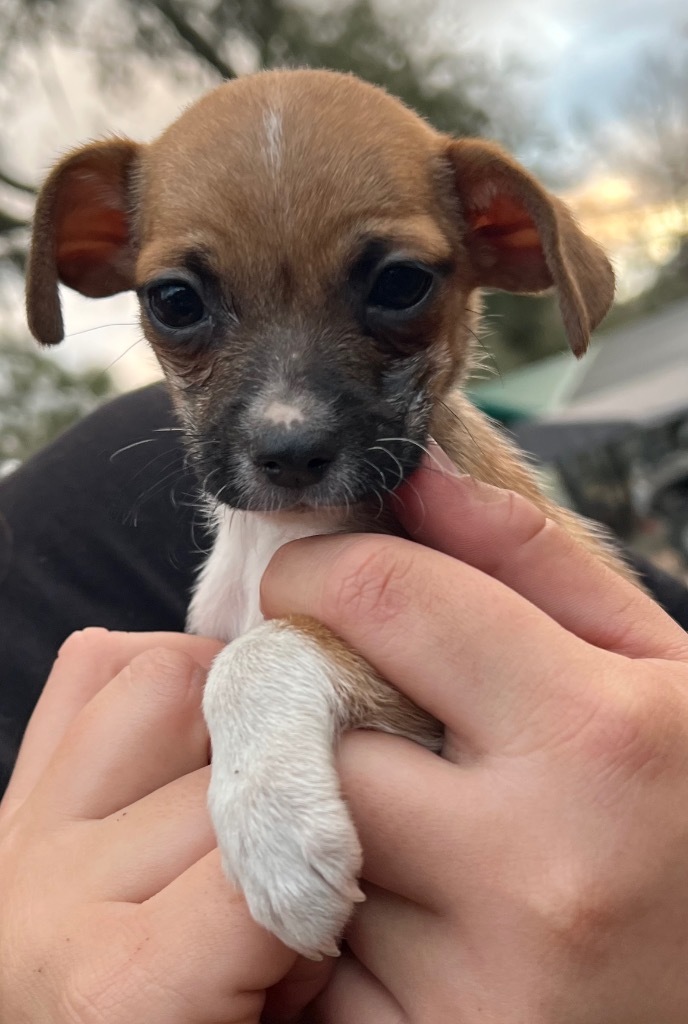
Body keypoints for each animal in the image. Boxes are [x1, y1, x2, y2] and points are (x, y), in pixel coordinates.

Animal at [25, 70, 630, 958]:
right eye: (174, 301)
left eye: (401, 284)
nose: (290, 452)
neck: (273, 538)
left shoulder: (423, 713)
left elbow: (267, 646)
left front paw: (271, 825)